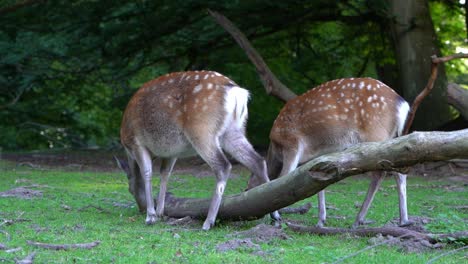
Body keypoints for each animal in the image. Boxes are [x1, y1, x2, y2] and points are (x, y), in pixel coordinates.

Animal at [115, 71, 280, 230]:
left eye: (129, 189)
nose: (141, 208)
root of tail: (236, 92)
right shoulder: (171, 151)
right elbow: (165, 173)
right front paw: (160, 212)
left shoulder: (136, 143)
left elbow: (147, 173)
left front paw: (151, 216)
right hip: (233, 130)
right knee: (258, 161)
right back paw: (275, 216)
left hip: (202, 130)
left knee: (223, 165)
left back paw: (208, 222)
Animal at [264, 77, 410, 228]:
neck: (274, 146)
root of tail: (402, 103)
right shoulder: (314, 157)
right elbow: (316, 184)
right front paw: (321, 220)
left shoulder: (291, 144)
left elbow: (281, 180)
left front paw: (276, 216)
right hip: (390, 137)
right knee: (397, 171)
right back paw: (400, 220)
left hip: (376, 134)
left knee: (384, 172)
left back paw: (364, 220)